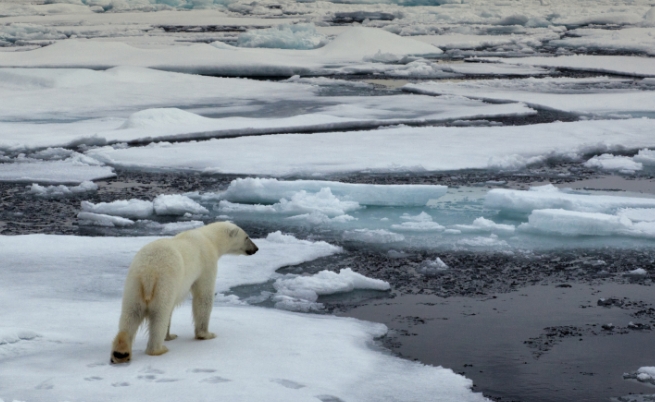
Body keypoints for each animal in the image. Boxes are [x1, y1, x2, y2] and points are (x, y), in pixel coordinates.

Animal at [110, 221, 258, 362]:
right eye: (247, 237)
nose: (256, 248)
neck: (209, 238)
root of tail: (148, 273)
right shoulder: (206, 263)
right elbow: (203, 297)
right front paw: (206, 334)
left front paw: (170, 336)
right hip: (164, 284)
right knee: (159, 316)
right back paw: (159, 349)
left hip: (134, 285)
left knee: (130, 315)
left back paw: (121, 353)